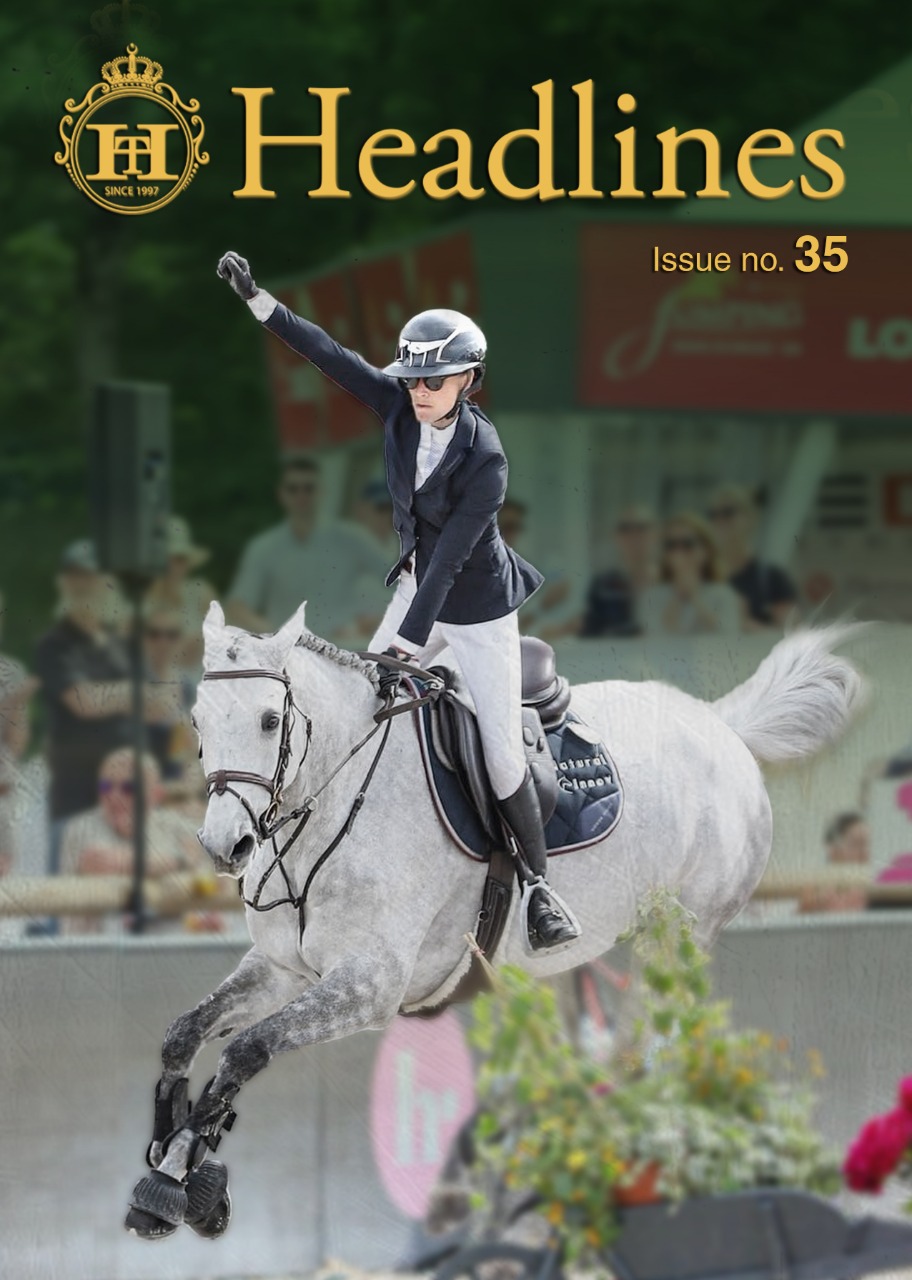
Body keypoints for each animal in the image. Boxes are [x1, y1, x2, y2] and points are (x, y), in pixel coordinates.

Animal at [125, 601, 862, 1239]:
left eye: (269, 722)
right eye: (199, 720)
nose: (225, 847)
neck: (334, 802)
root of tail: (718, 722)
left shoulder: (370, 985)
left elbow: (243, 1053)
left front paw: (182, 1179)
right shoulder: (282, 968)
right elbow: (184, 1035)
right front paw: (167, 1159)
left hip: (679, 939)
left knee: (653, 1051)